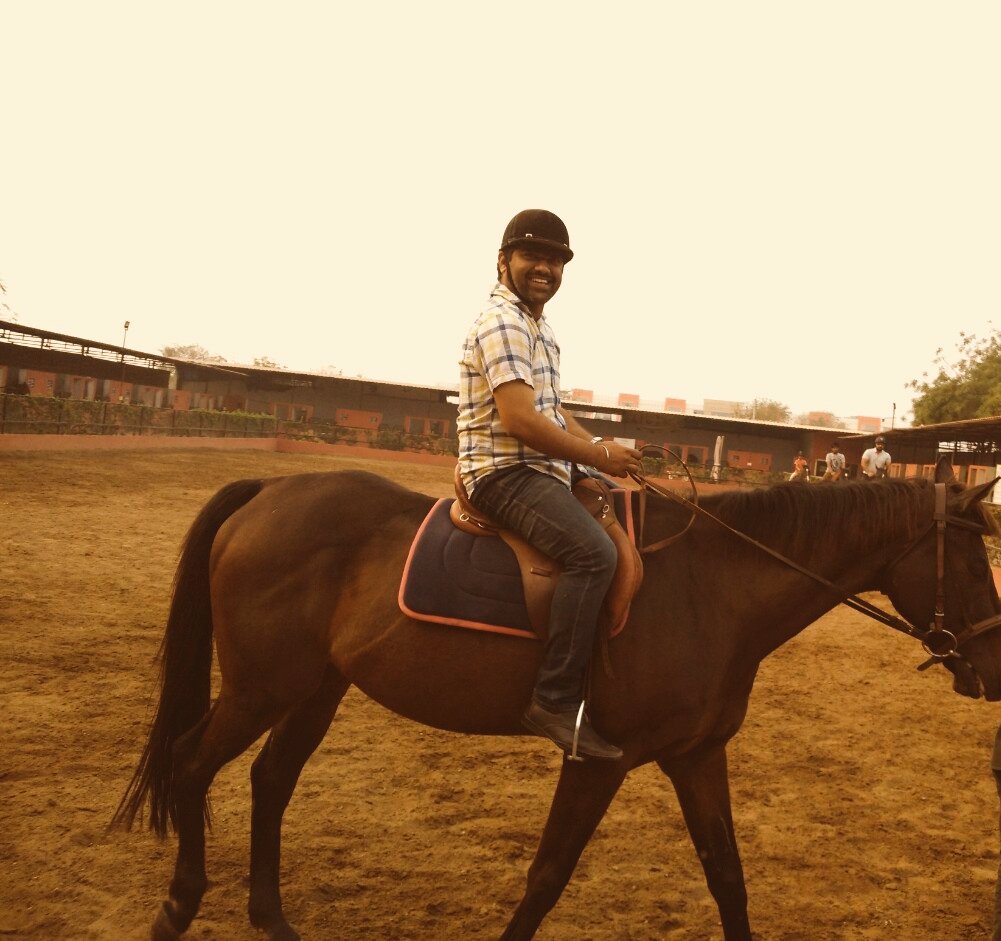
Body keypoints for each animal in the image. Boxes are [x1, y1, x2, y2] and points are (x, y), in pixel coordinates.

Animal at [113, 456, 1001, 941]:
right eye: (972, 558)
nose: (991, 668)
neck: (710, 588)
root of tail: (269, 490)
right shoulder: (596, 759)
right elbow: (546, 875)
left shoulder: (694, 756)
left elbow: (727, 874)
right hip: (262, 686)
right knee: (191, 762)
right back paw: (178, 905)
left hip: (315, 687)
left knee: (270, 780)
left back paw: (270, 914)